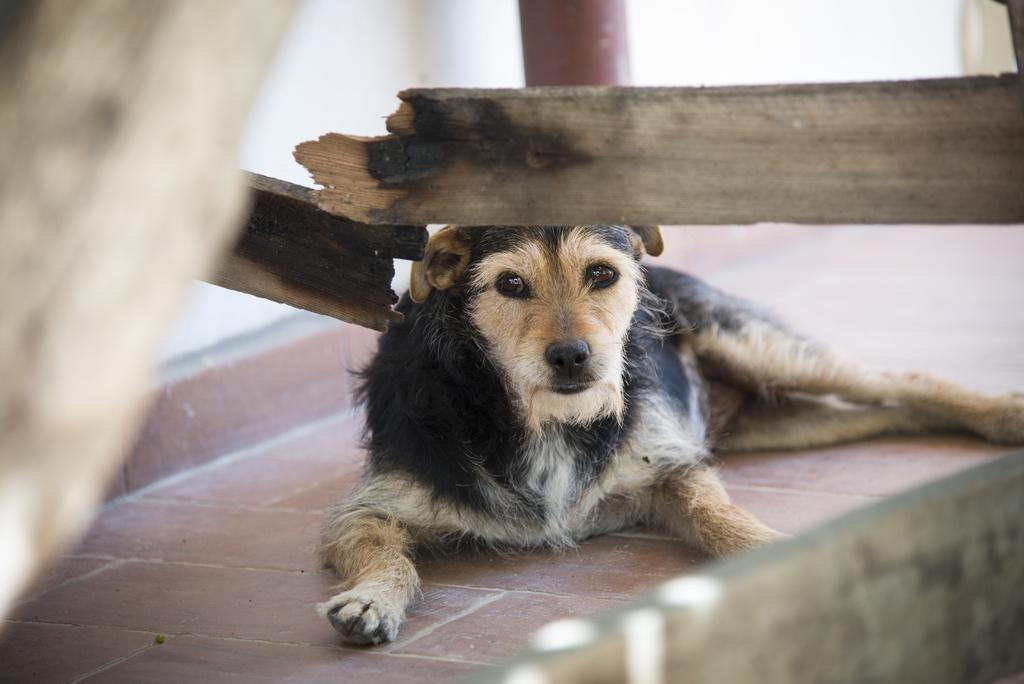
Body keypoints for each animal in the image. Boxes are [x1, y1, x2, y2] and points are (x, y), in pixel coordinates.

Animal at [315, 225, 1019, 647]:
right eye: (510, 283)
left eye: (602, 274)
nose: (572, 357)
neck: (538, 422)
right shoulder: (369, 508)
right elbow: (386, 555)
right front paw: (371, 600)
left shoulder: (673, 466)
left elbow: (719, 516)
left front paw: (769, 551)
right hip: (784, 421)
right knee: (890, 408)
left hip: (763, 351)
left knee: (902, 377)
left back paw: (1001, 413)